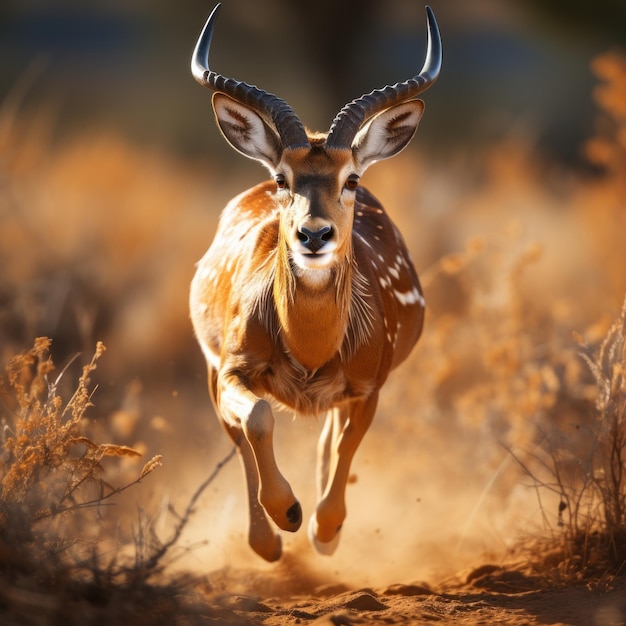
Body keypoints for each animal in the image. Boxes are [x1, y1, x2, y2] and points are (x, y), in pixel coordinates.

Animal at [190, 3, 438, 560]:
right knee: (237, 433)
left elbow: (345, 444)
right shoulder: (234, 366)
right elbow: (258, 418)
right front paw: (288, 513)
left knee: (326, 436)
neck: (308, 348)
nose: (313, 233)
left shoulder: (369, 385)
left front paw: (325, 531)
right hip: (212, 370)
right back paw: (266, 542)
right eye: (283, 178)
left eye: (352, 179)